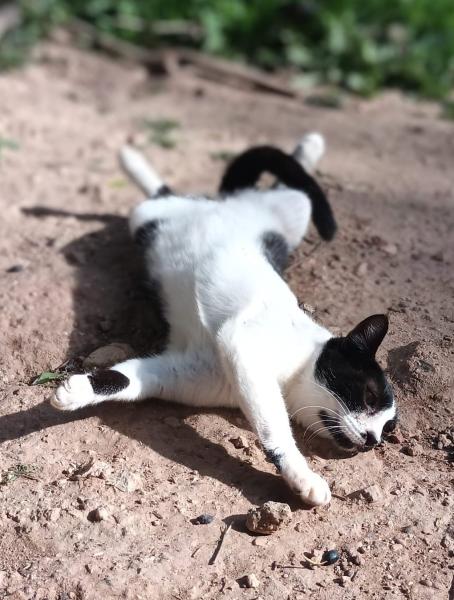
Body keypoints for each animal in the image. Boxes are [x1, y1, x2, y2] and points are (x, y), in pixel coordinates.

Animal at [53, 133, 397, 506]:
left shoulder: (182, 370)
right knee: (282, 182)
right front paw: (301, 475)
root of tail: (221, 204)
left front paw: (75, 391)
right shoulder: (243, 344)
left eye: (388, 429)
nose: (372, 440)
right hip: (252, 210)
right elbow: (274, 427)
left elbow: (128, 378)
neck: (297, 368)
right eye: (369, 397)